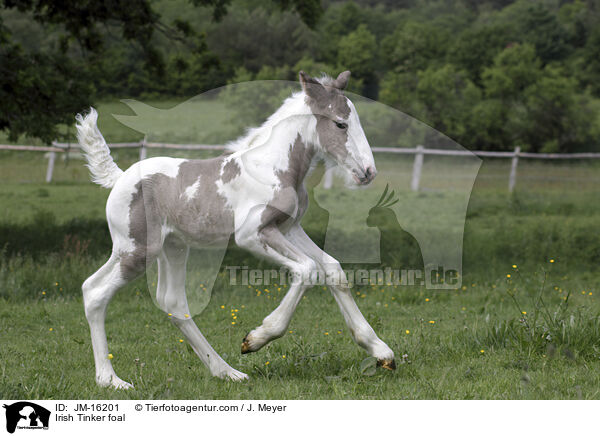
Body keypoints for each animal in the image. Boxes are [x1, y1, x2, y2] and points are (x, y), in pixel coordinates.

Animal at [77, 70, 396, 388]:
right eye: (341, 123)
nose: (368, 172)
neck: (273, 167)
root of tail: (119, 178)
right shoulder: (252, 235)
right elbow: (307, 269)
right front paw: (255, 339)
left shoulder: (289, 228)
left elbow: (333, 269)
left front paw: (380, 350)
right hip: (137, 250)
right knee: (95, 292)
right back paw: (110, 379)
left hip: (172, 248)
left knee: (172, 302)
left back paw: (227, 372)